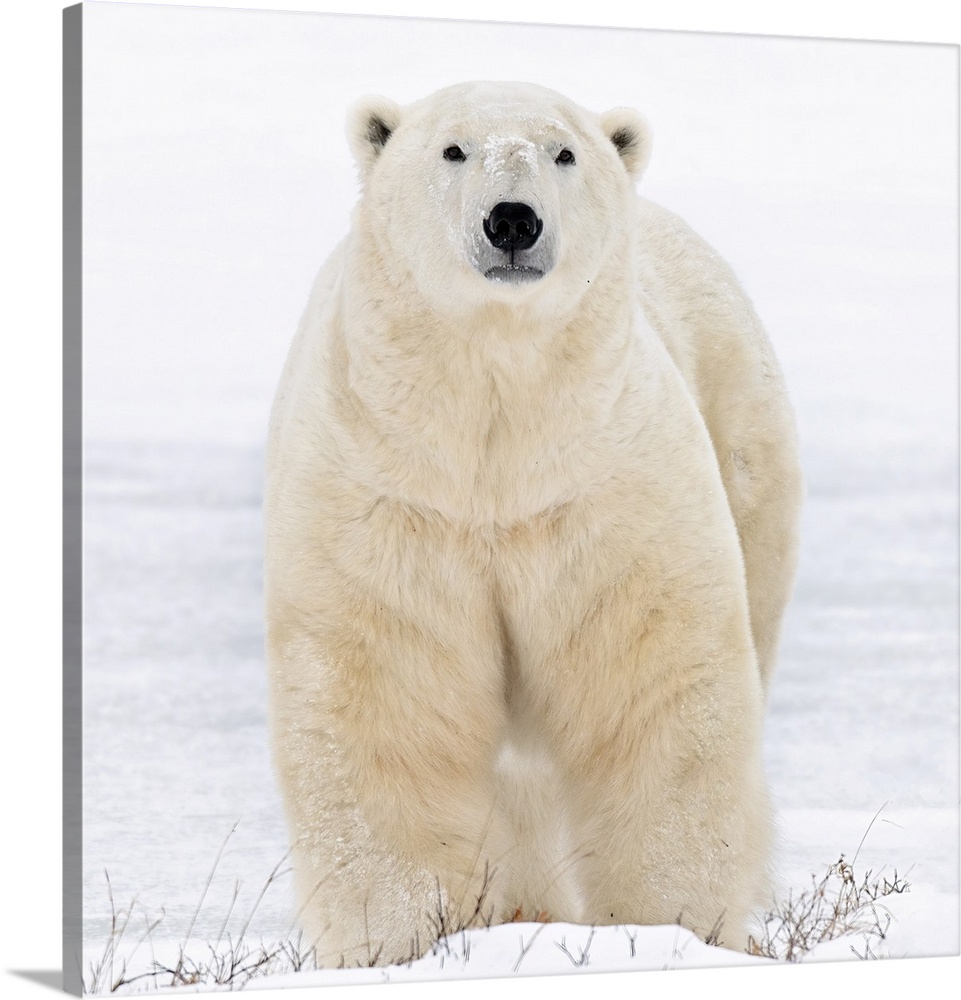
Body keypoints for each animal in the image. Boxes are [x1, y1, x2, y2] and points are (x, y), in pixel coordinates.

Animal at [264, 80, 802, 968]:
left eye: (563, 152)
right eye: (453, 149)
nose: (511, 219)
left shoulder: (604, 482)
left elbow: (650, 683)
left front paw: (671, 930)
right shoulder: (393, 492)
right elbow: (384, 690)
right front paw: (397, 943)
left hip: (742, 432)